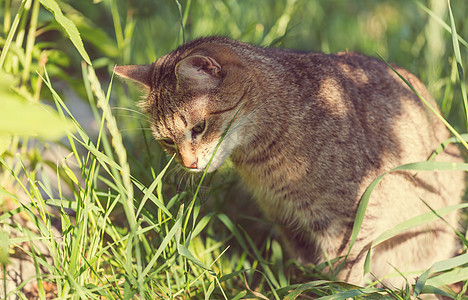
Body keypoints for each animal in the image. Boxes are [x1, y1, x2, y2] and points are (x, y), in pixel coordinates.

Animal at [114, 35, 464, 286]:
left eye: (198, 128)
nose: (189, 164)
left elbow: (346, 275)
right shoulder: (287, 221)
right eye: (167, 142)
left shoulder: (353, 217)